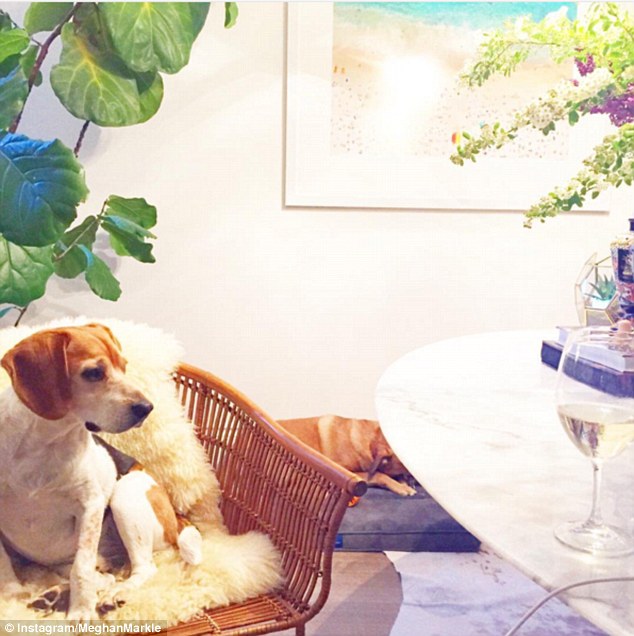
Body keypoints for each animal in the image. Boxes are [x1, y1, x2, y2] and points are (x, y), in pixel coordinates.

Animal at [0, 326, 200, 620]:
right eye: (94, 373)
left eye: (124, 366)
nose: (147, 408)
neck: (45, 442)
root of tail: (176, 517)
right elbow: (3, 565)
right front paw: (13, 595)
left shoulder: (90, 505)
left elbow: (81, 568)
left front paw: (82, 612)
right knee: (103, 575)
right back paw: (54, 595)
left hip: (125, 496)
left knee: (140, 569)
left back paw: (114, 594)